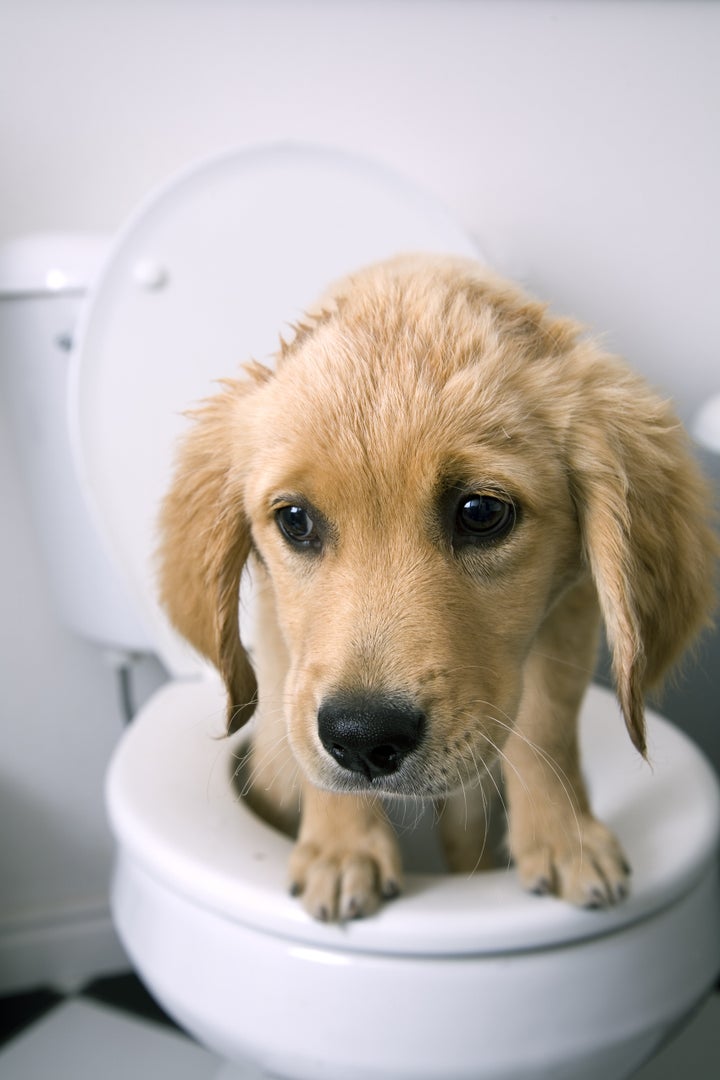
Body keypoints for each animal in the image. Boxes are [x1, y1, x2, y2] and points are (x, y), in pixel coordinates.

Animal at [160, 252, 716, 920]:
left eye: (481, 512)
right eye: (295, 520)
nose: (362, 738)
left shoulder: (572, 605)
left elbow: (547, 725)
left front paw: (564, 837)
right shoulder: (279, 629)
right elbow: (311, 742)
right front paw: (343, 847)